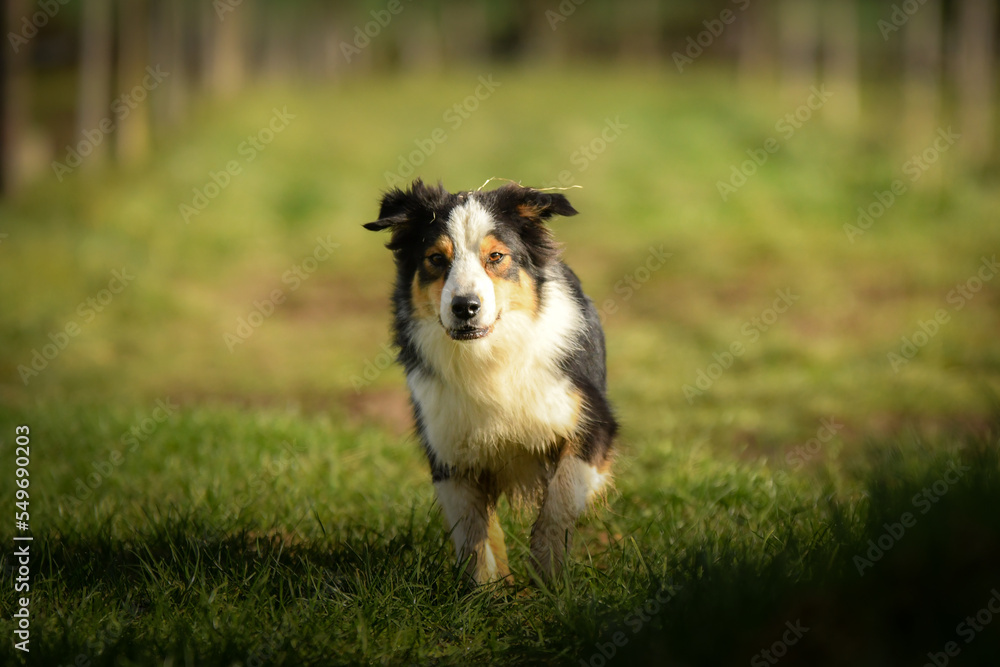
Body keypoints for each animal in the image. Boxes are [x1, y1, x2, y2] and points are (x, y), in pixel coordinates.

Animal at [366, 179, 616, 584]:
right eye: (436, 258)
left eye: (496, 256)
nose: (465, 307)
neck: (488, 354)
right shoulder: (448, 451)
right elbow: (474, 535)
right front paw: (489, 592)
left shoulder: (592, 422)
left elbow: (560, 498)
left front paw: (548, 579)